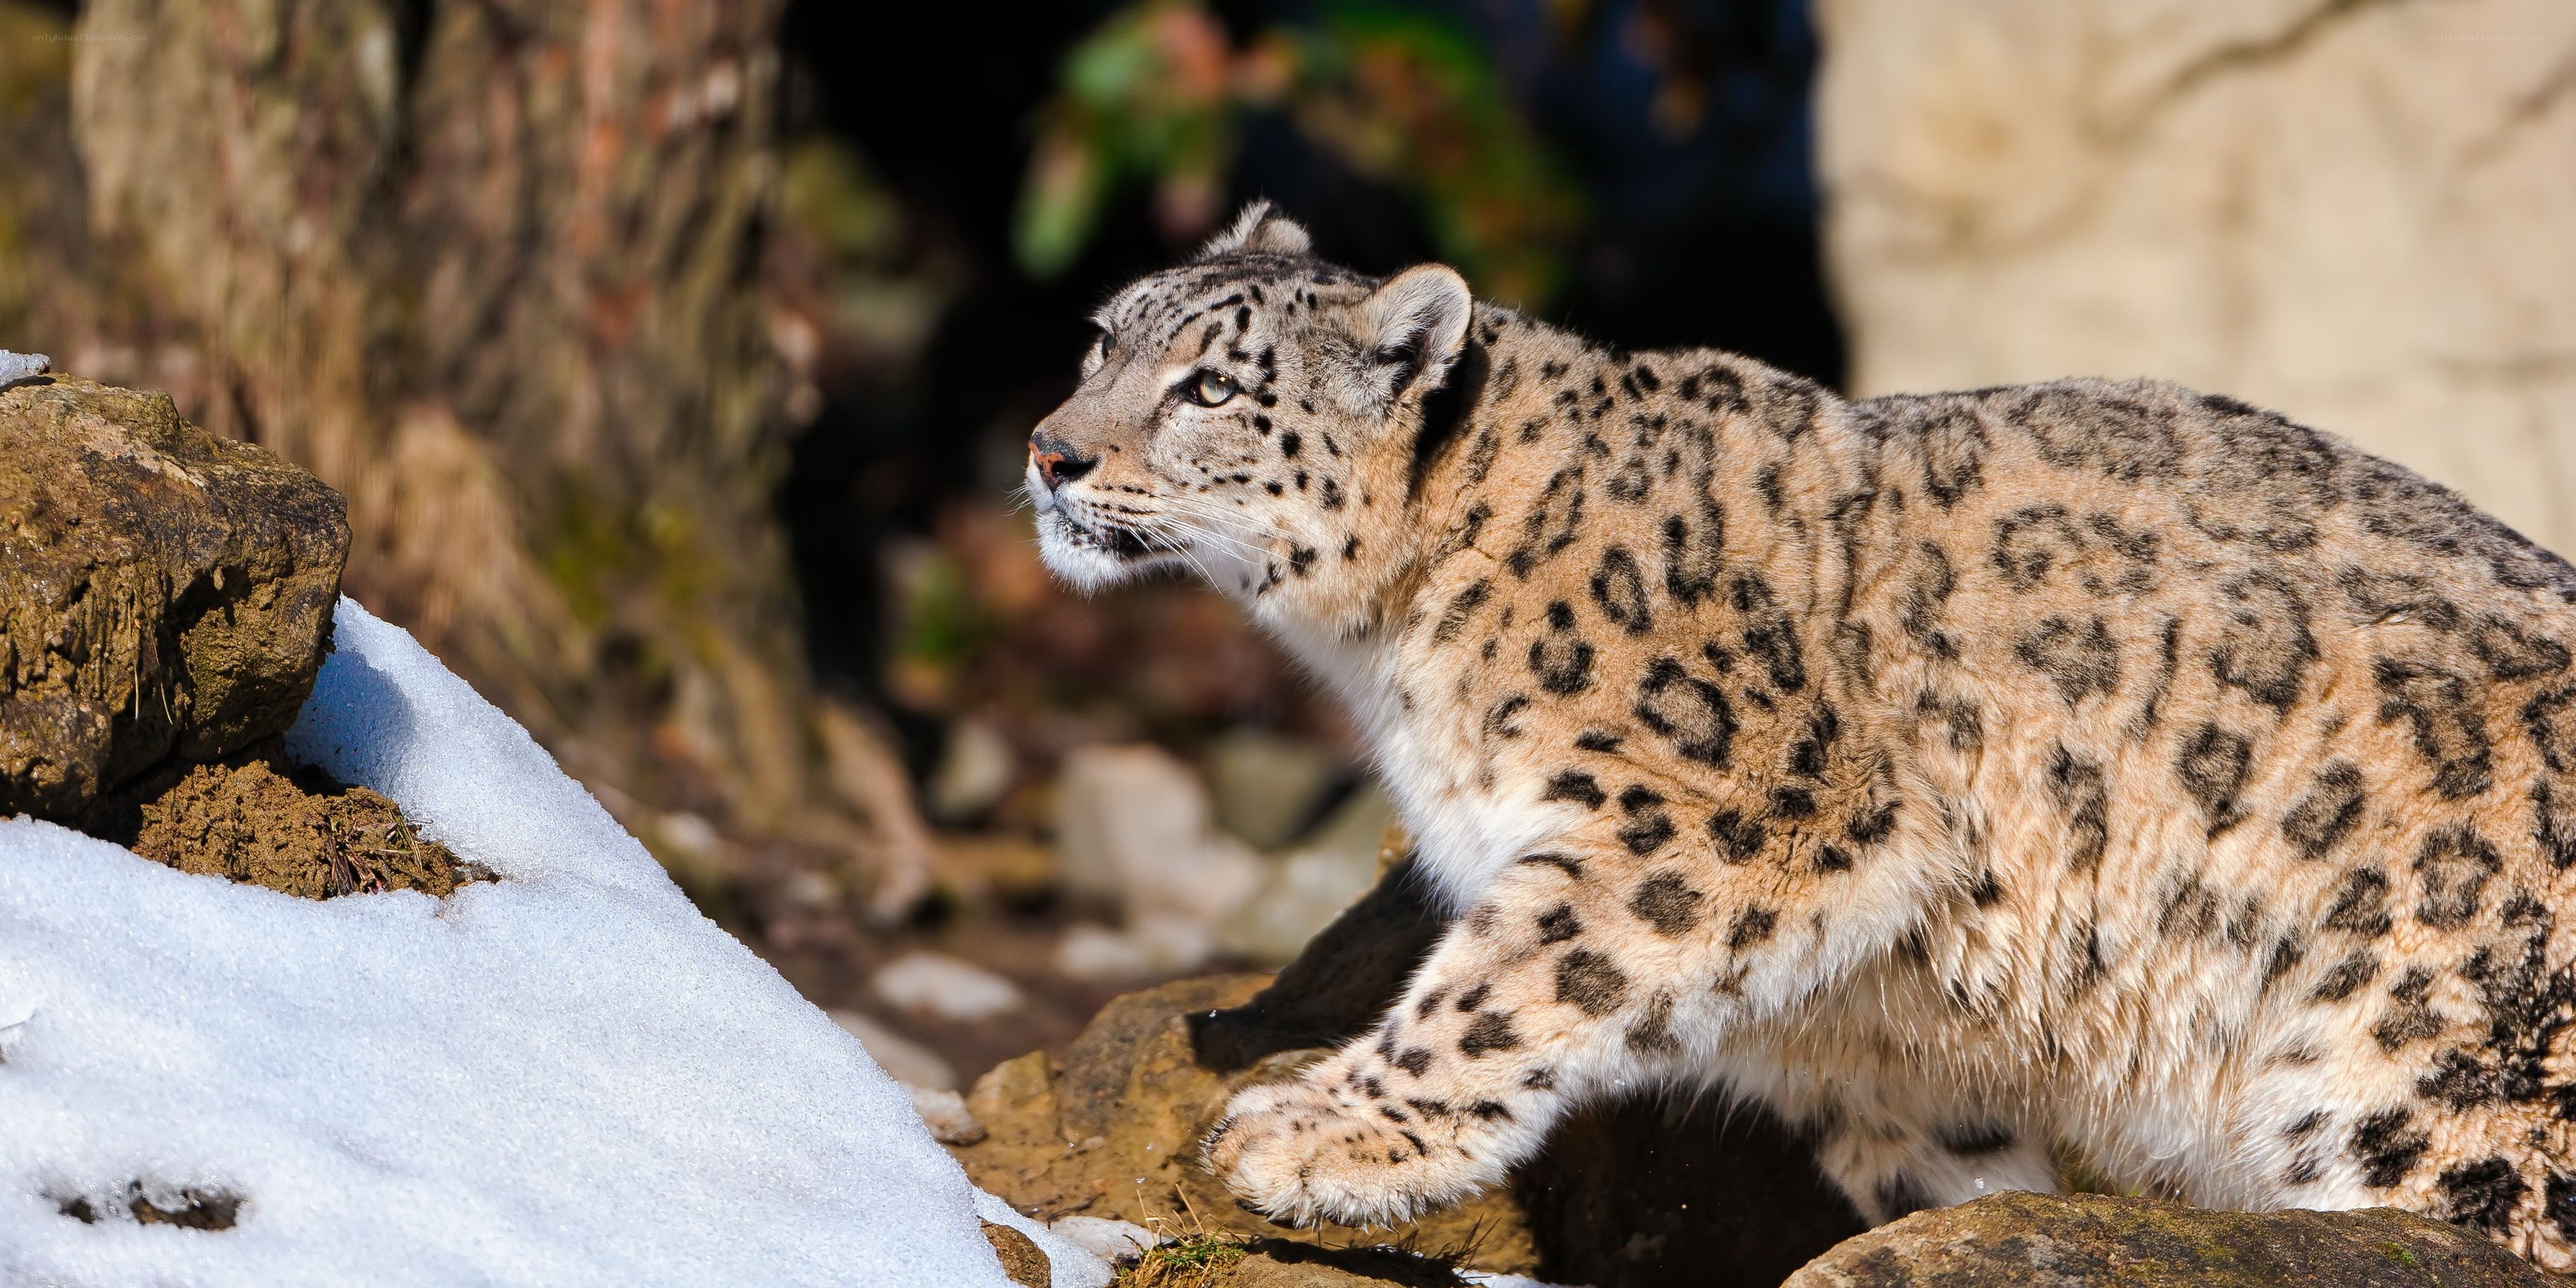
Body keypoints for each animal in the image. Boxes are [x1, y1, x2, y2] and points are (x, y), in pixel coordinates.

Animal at [1024, 201, 2576, 1269]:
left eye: (1212, 387)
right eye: (1102, 338)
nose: (1049, 451)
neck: (1388, 653)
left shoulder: (1728, 817)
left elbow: (1502, 990)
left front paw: (1312, 1137)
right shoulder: (1867, 1043)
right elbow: (1945, 1164)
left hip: (2446, 1080)